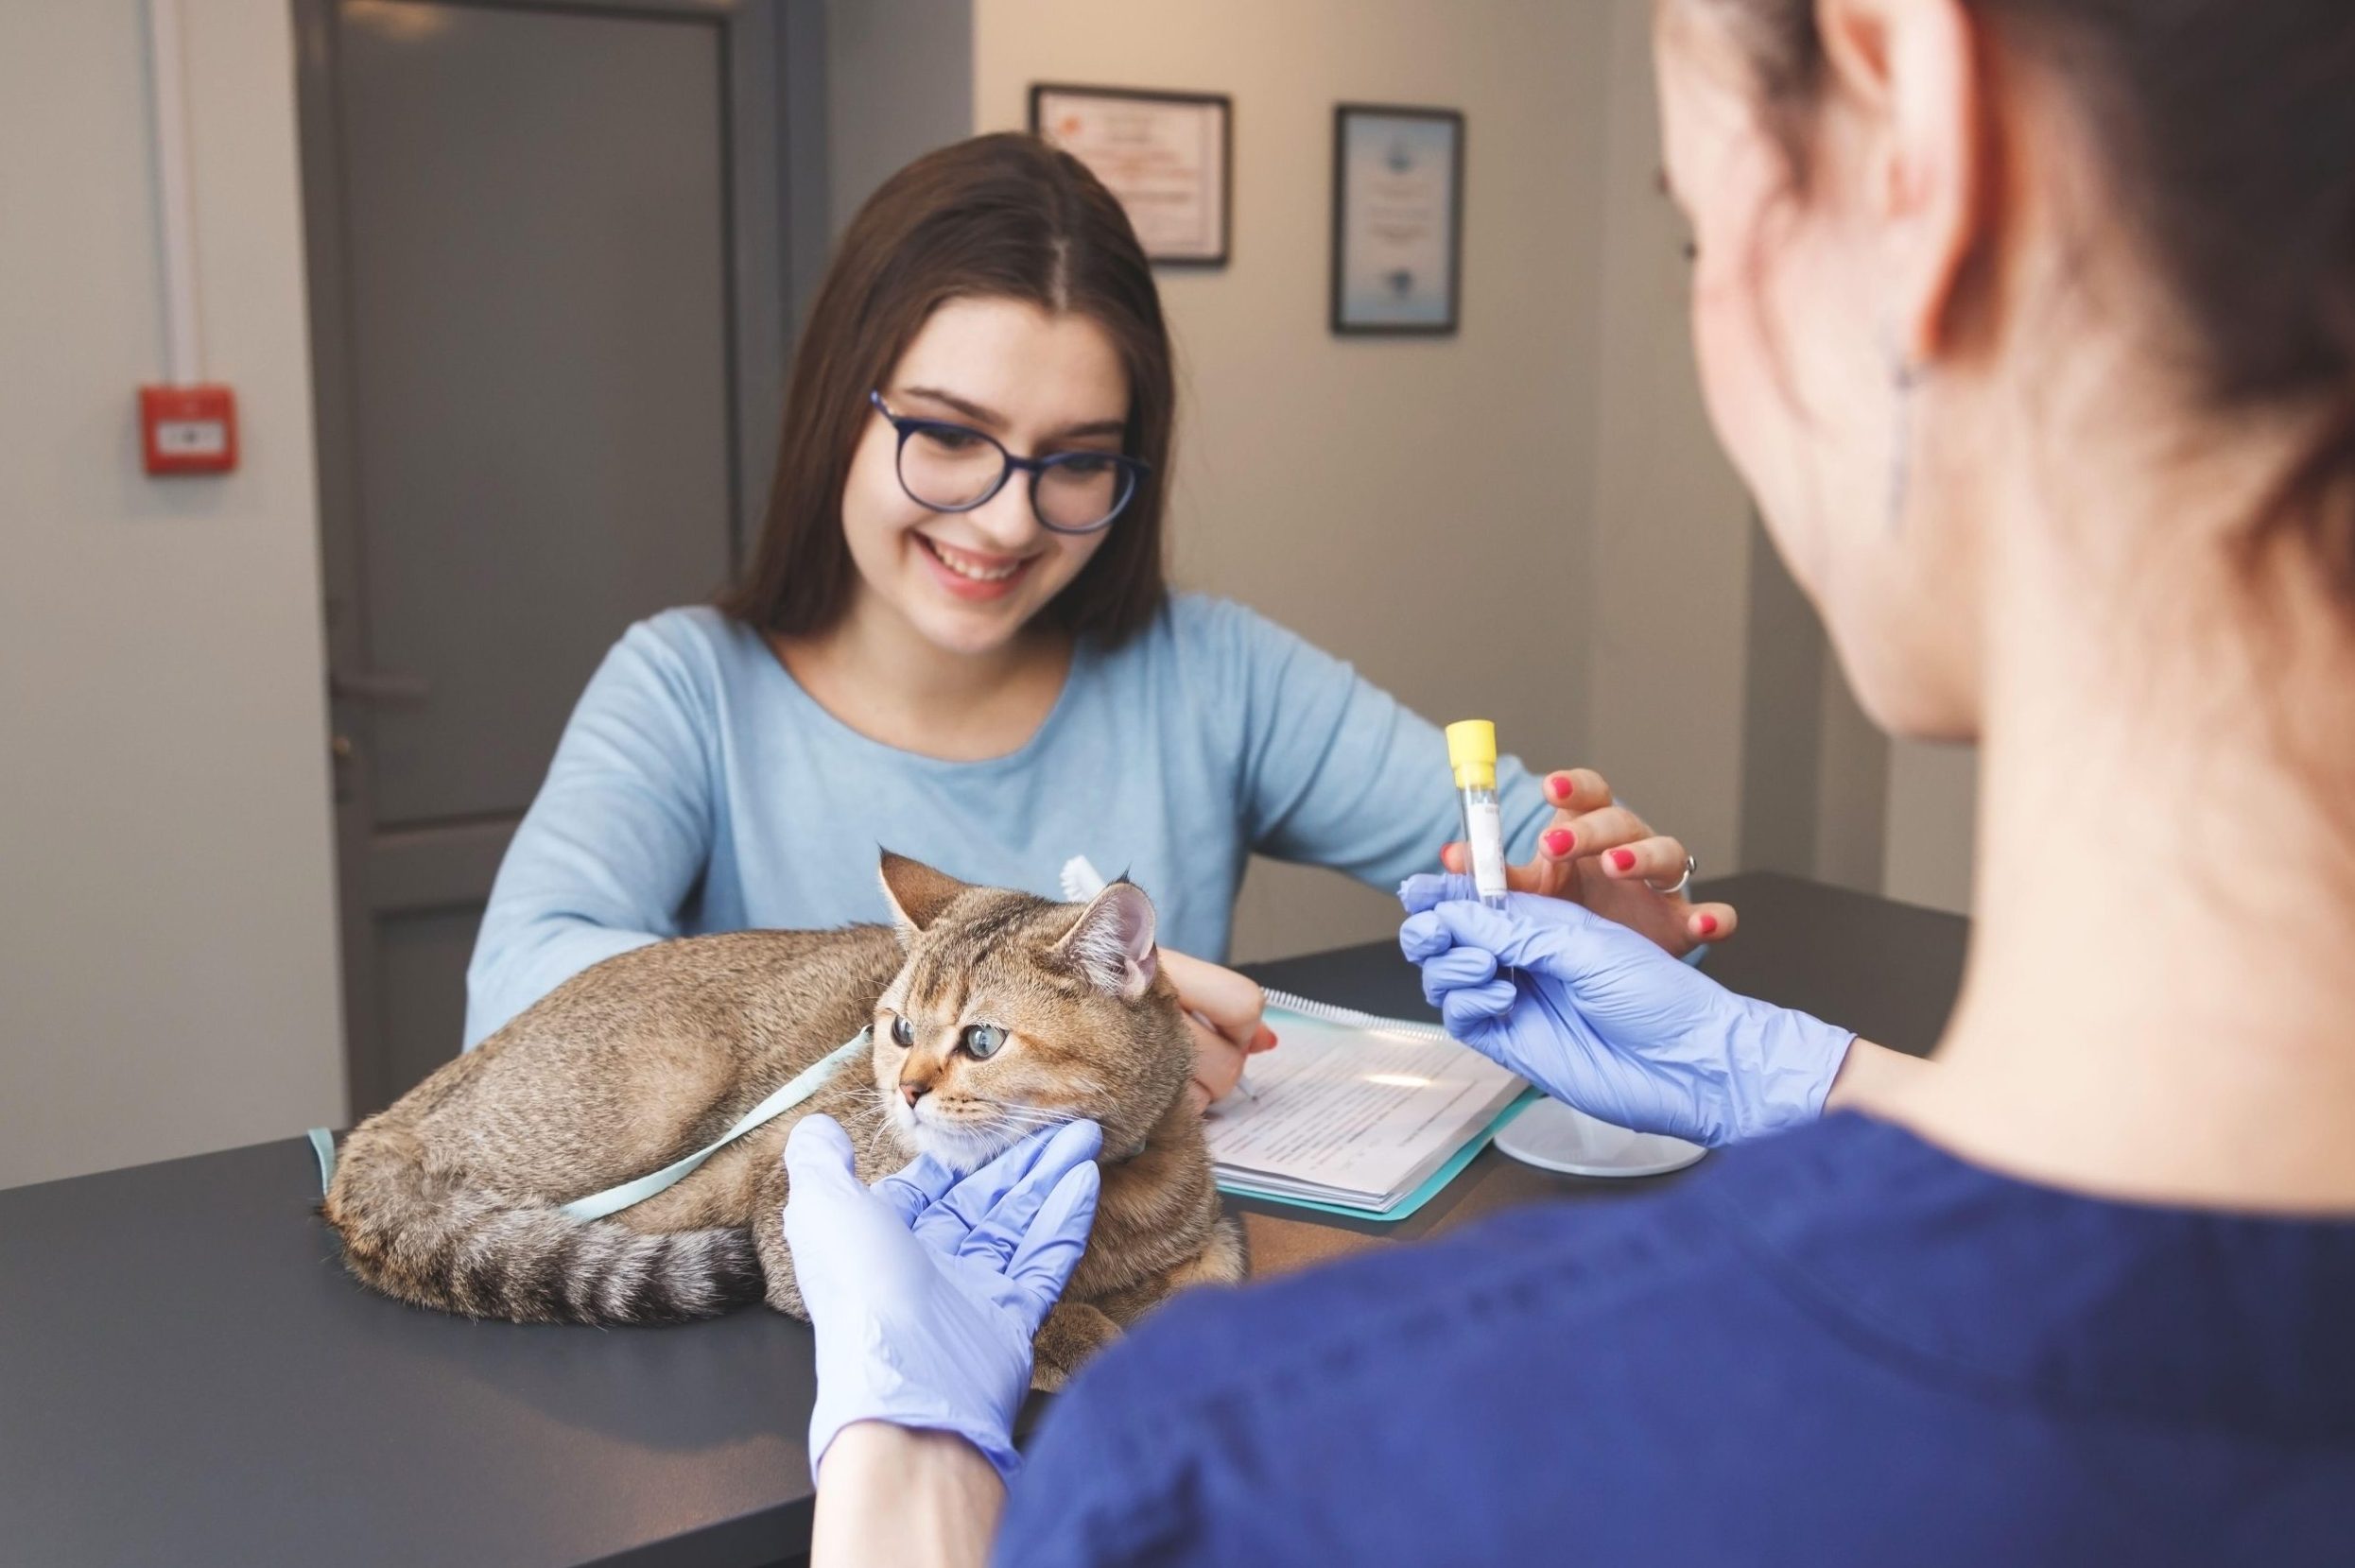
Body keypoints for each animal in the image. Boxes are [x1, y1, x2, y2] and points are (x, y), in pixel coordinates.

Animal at [329, 856, 1262, 1384]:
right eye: (898, 1029)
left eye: (982, 1039)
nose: (907, 1089)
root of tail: (396, 1112)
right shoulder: (793, 1205)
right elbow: (1018, 1310)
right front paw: (1093, 1340)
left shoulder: (1210, 1232)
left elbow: (1217, 1279)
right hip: (662, 1098)